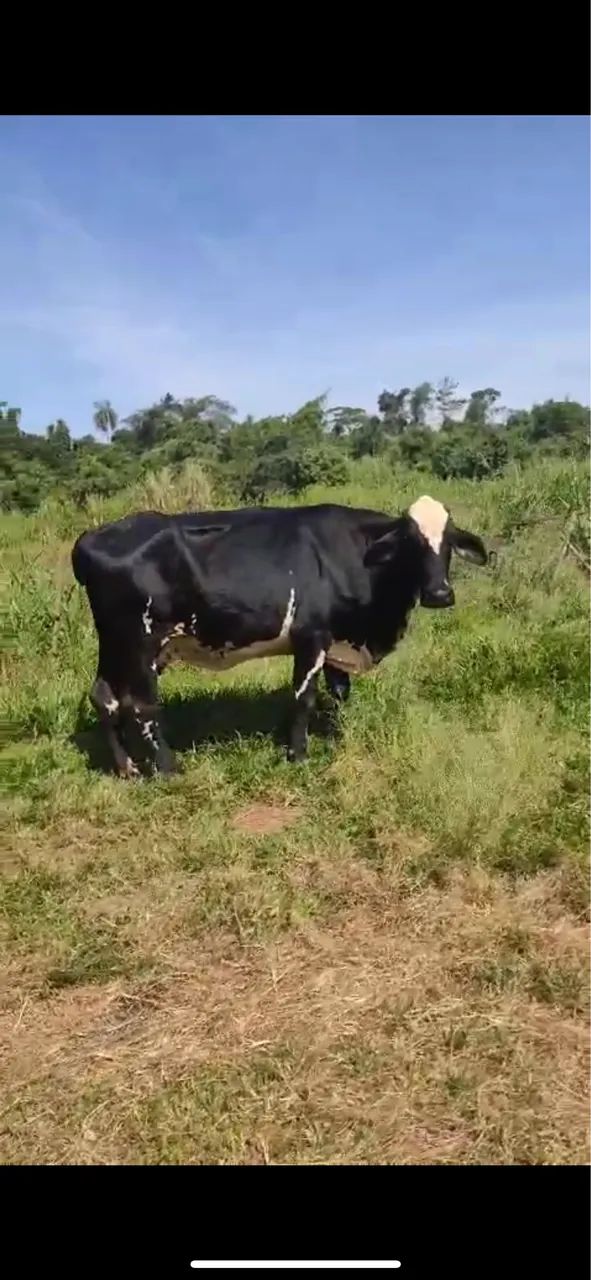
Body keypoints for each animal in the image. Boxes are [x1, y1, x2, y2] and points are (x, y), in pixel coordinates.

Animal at [71, 495, 488, 778]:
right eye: (411, 542)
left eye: (449, 542)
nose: (439, 594)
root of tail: (91, 537)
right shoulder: (311, 637)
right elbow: (304, 698)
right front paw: (298, 755)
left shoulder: (337, 639)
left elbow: (339, 694)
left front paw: (337, 735)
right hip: (140, 642)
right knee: (142, 706)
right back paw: (168, 768)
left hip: (117, 645)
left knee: (105, 696)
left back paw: (127, 768)